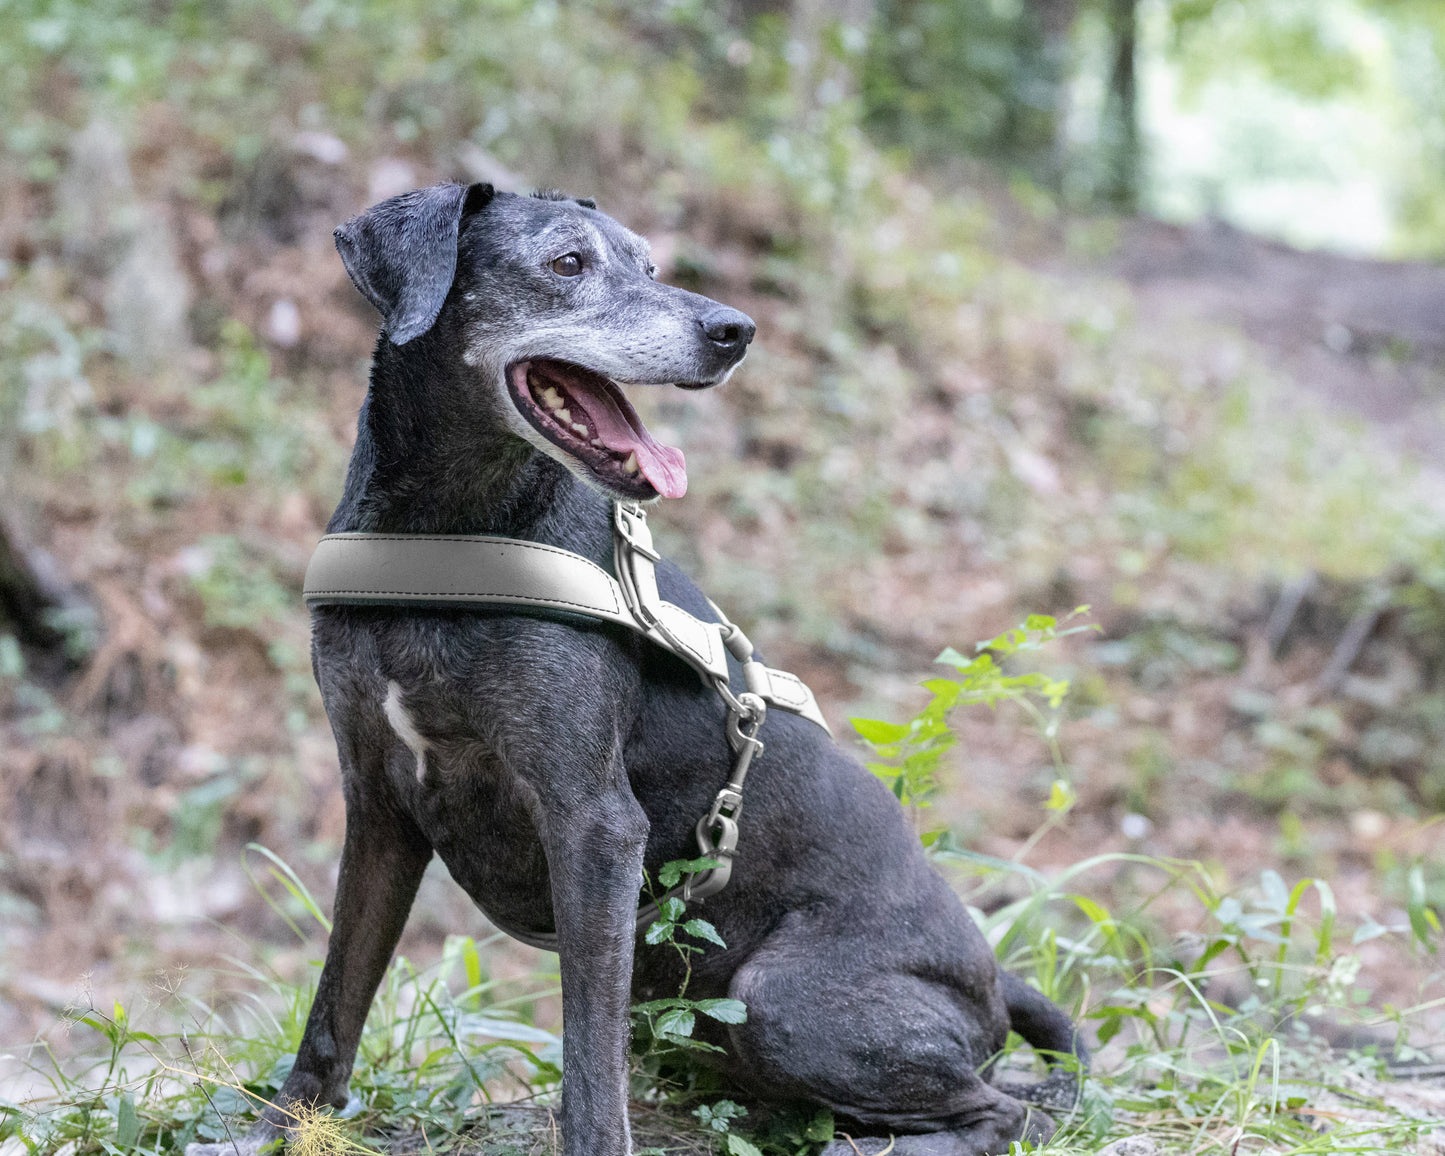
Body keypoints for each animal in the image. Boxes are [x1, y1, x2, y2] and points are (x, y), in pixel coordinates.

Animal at [183, 180, 1086, 1156]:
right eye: (566, 263)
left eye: (651, 265)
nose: (734, 330)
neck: (446, 532)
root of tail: (994, 981)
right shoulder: (379, 804)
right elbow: (335, 999)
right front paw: (277, 1123)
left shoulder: (593, 823)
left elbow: (588, 1055)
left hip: (782, 999)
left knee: (1008, 1111)